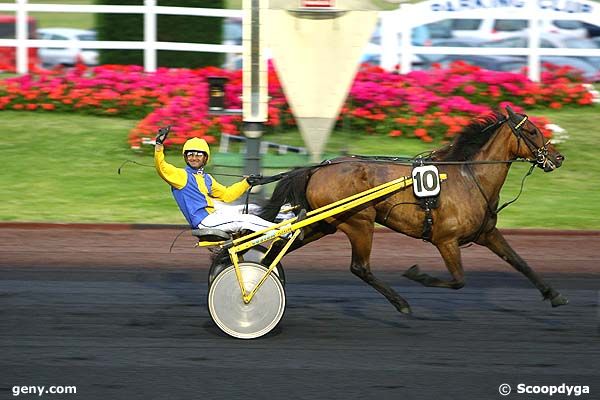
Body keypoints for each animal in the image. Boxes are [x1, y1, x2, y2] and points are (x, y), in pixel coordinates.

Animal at [256, 106, 568, 316]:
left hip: (324, 223)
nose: (558, 157)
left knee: (280, 247)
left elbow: (519, 262)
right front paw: (418, 275)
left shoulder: (487, 233)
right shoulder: (446, 240)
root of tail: (317, 168)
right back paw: (401, 303)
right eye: (531, 131)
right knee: (360, 267)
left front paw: (554, 294)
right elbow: (458, 281)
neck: (469, 178)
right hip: (359, 222)